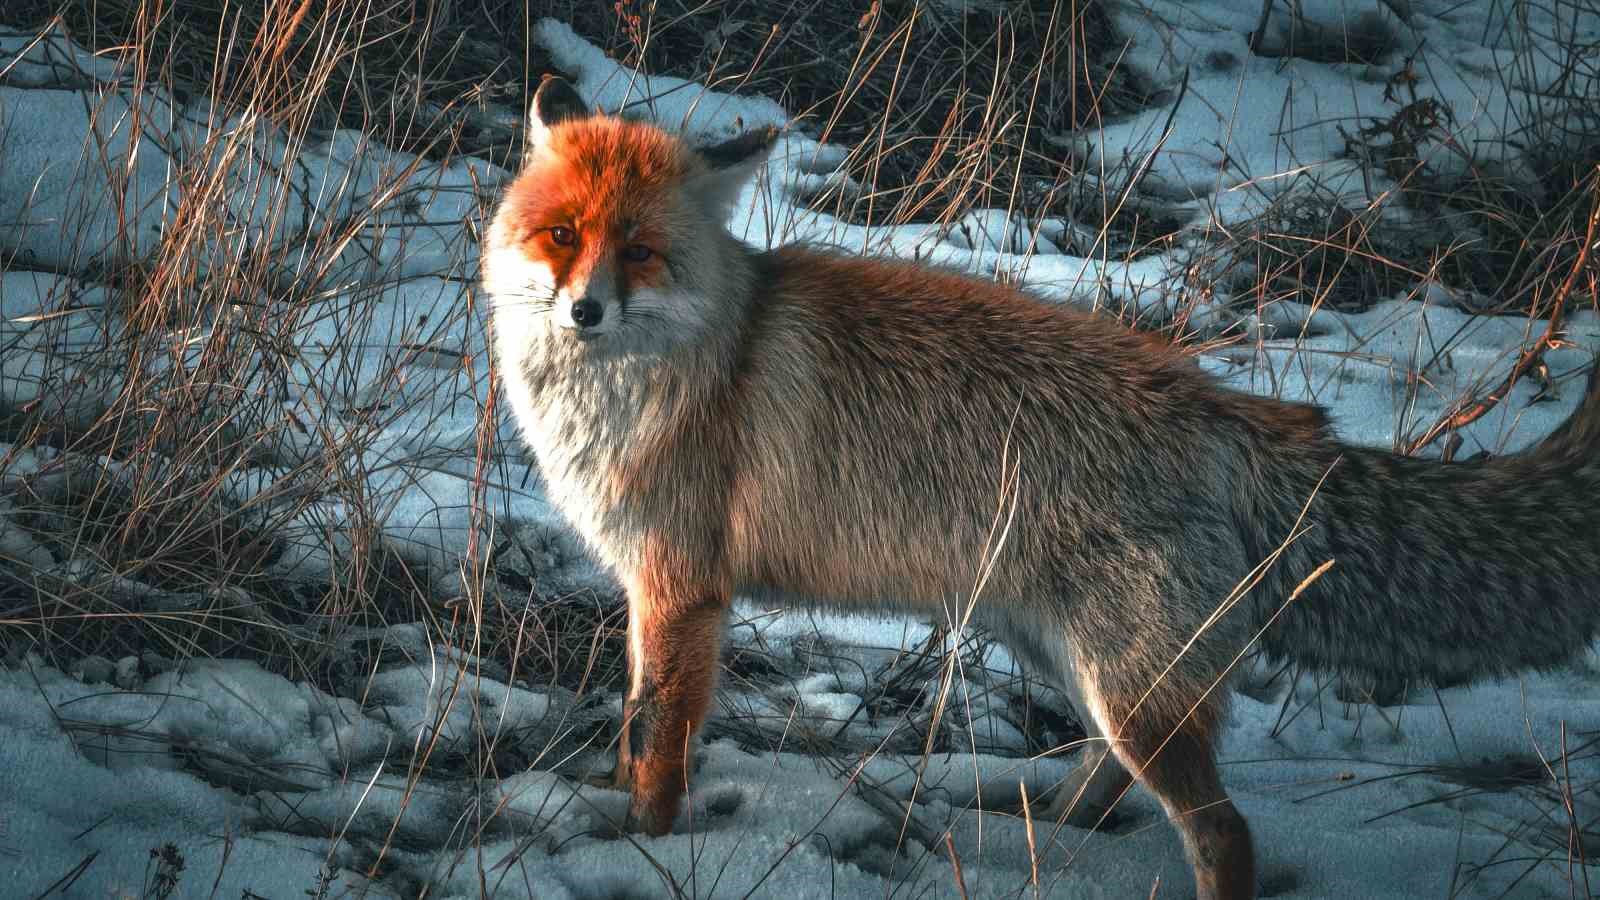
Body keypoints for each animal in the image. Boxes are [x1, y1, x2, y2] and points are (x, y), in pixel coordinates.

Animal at [483, 76, 1600, 896]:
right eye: (560, 235)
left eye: (640, 251)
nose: (583, 312)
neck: (679, 370)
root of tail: (1228, 410)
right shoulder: (648, 590)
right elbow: (633, 724)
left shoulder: (685, 588)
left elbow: (661, 749)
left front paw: (646, 842)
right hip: (1075, 660)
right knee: (1109, 782)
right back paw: (1055, 848)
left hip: (1130, 687)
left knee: (1223, 834)